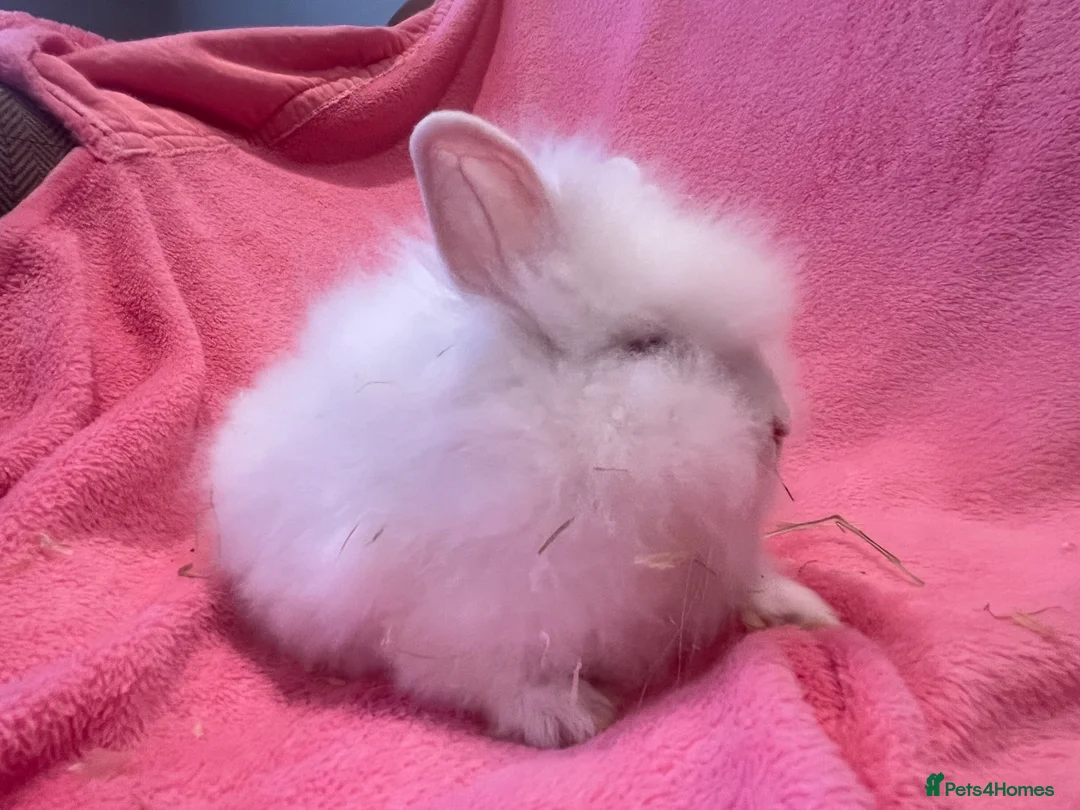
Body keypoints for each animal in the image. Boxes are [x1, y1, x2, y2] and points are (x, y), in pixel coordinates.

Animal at [208, 110, 839, 750]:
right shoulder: (467, 617)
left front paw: (806, 611)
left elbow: (747, 583)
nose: (780, 424)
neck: (555, 432)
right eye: (645, 345)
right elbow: (494, 677)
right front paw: (569, 716)